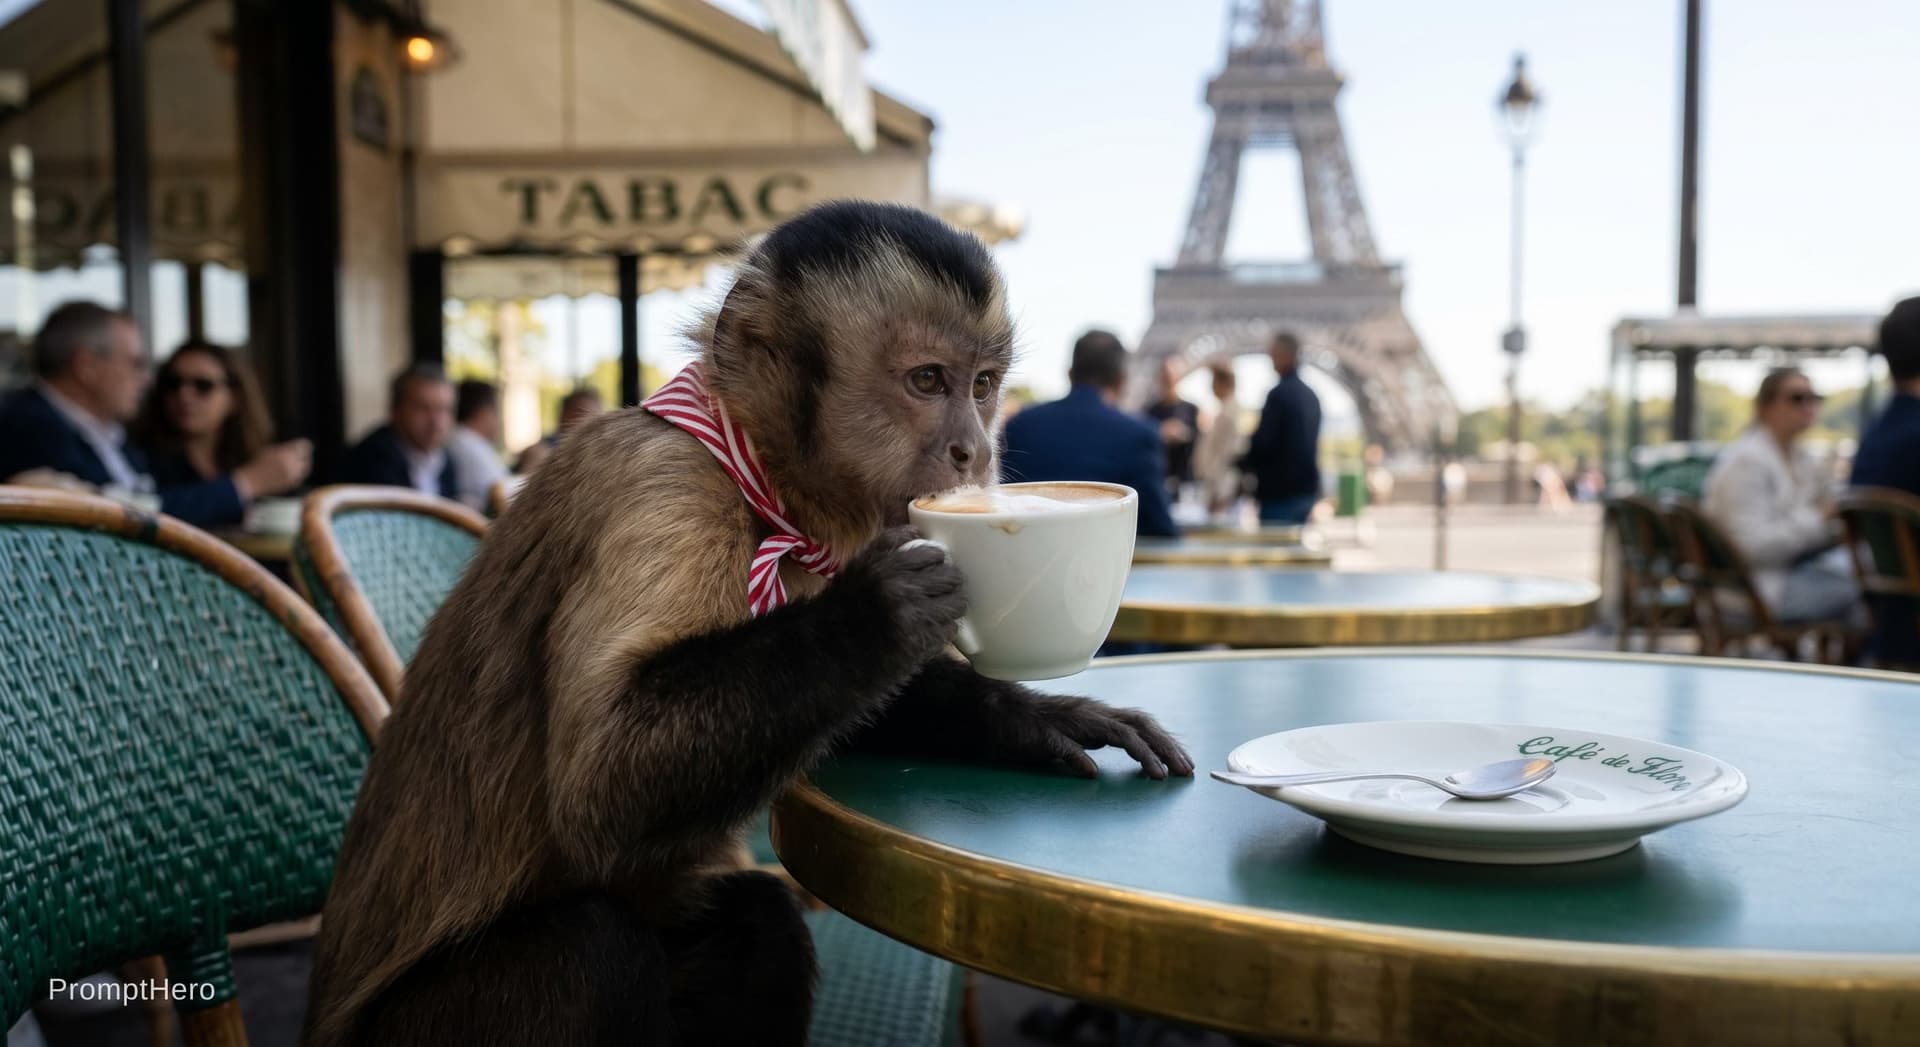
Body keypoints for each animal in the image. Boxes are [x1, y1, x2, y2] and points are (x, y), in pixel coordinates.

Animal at [302, 201, 1196, 1047]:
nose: (974, 450)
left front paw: (1032, 718)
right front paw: (874, 616)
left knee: (754, 929)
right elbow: (601, 780)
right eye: (928, 379)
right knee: (596, 949)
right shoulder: (663, 485)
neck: (761, 473)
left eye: (983, 384)